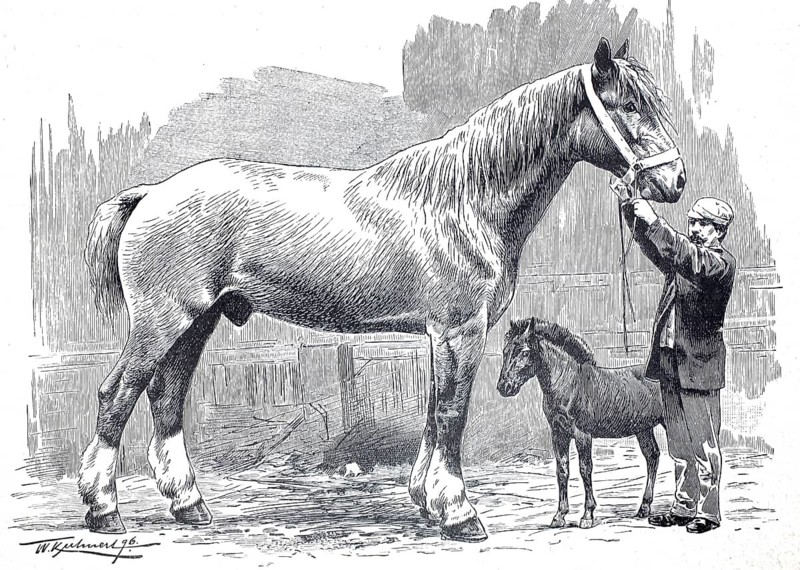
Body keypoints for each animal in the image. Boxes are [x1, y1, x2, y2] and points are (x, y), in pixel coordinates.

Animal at [497, 317, 665, 529]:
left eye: (525, 351)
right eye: (505, 350)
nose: (504, 387)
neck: (569, 383)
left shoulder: (582, 434)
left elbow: (585, 469)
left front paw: (587, 515)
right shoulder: (558, 433)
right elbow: (562, 470)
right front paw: (559, 516)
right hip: (643, 429)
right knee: (652, 456)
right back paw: (644, 507)